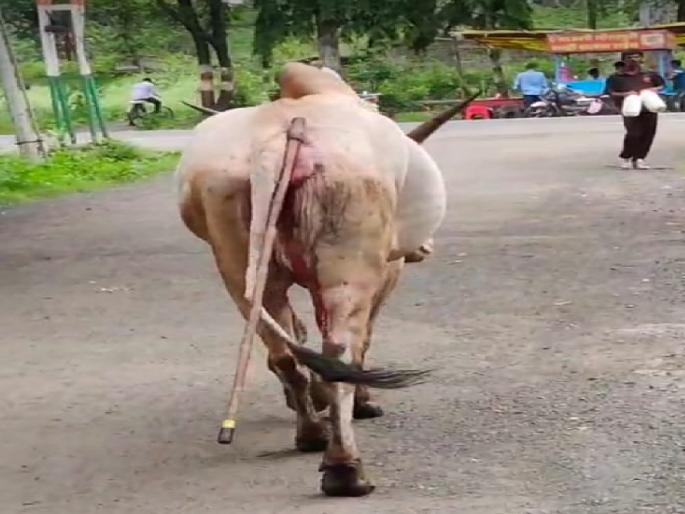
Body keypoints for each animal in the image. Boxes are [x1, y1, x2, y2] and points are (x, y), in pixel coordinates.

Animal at [175, 62, 473, 497]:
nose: (426, 248)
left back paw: (312, 433)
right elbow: (362, 343)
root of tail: (287, 135)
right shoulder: (387, 271)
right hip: (349, 237)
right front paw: (364, 402)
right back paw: (344, 468)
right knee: (339, 351)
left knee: (284, 349)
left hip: (234, 245)